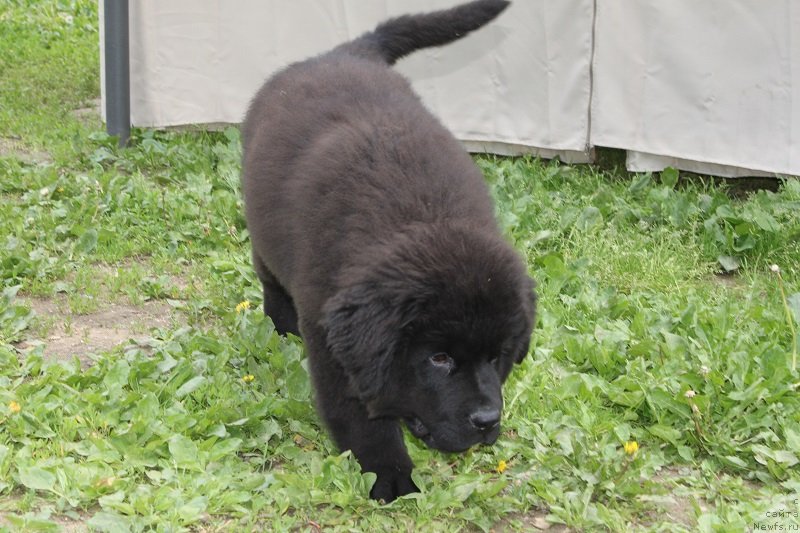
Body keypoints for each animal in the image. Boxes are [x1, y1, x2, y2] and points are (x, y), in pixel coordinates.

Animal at [241, 0, 536, 500]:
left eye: (498, 355)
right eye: (439, 358)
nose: (486, 421)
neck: (421, 220)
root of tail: (344, 52)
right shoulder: (335, 343)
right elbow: (361, 416)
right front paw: (392, 475)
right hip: (262, 231)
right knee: (269, 277)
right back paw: (280, 324)